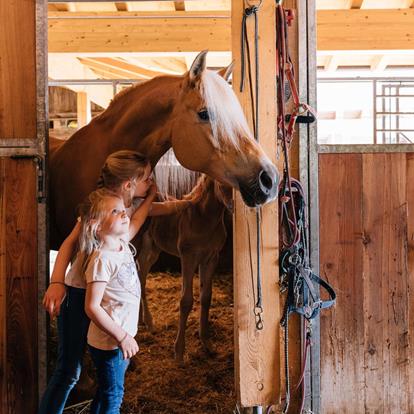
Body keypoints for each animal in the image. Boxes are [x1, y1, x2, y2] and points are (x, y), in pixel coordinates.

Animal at [137, 175, 231, 362]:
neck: (204, 218)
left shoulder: (211, 258)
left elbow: (206, 297)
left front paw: (207, 343)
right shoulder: (188, 257)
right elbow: (186, 300)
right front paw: (179, 352)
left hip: (153, 248)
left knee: (140, 274)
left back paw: (143, 320)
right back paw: (148, 323)